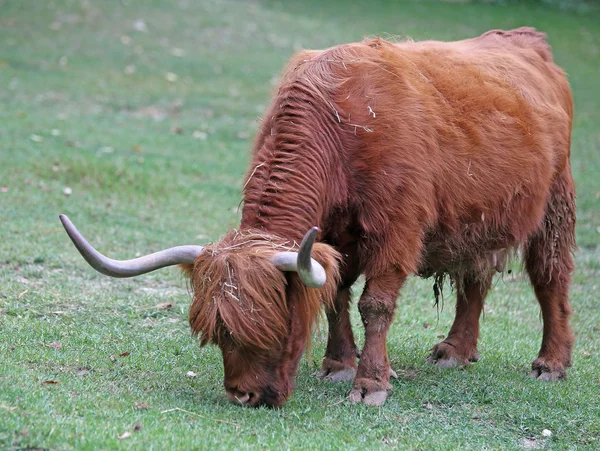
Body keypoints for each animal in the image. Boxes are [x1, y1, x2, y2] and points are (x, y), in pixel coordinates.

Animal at [61, 28, 576, 410]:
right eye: (217, 332)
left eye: (274, 324)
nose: (243, 396)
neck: (343, 127)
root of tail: (525, 40)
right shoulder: (333, 237)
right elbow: (336, 295)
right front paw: (338, 365)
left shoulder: (397, 229)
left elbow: (375, 304)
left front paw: (370, 384)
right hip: (482, 219)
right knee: (476, 278)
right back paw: (455, 352)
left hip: (556, 202)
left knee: (549, 277)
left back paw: (550, 363)